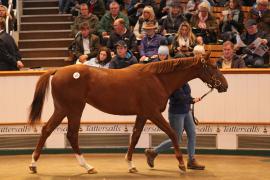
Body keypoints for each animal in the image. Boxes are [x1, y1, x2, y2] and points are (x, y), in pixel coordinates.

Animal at [28, 53, 228, 174]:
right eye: (213, 67)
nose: (225, 86)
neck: (157, 79)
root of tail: (58, 70)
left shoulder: (143, 114)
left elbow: (135, 136)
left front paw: (131, 164)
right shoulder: (153, 113)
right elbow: (172, 133)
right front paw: (180, 164)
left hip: (63, 109)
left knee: (47, 130)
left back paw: (34, 165)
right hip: (74, 109)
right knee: (71, 135)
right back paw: (87, 166)